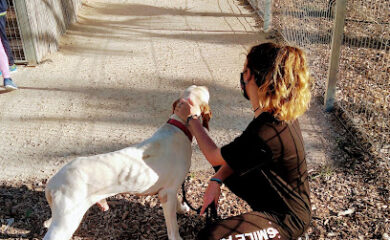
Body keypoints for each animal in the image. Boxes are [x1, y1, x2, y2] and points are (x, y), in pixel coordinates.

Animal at [43, 86, 210, 240]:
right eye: (203, 91)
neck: (179, 126)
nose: (207, 87)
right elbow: (173, 229)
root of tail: (52, 182)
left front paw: (182, 209)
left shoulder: (170, 189)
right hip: (66, 220)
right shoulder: (166, 193)